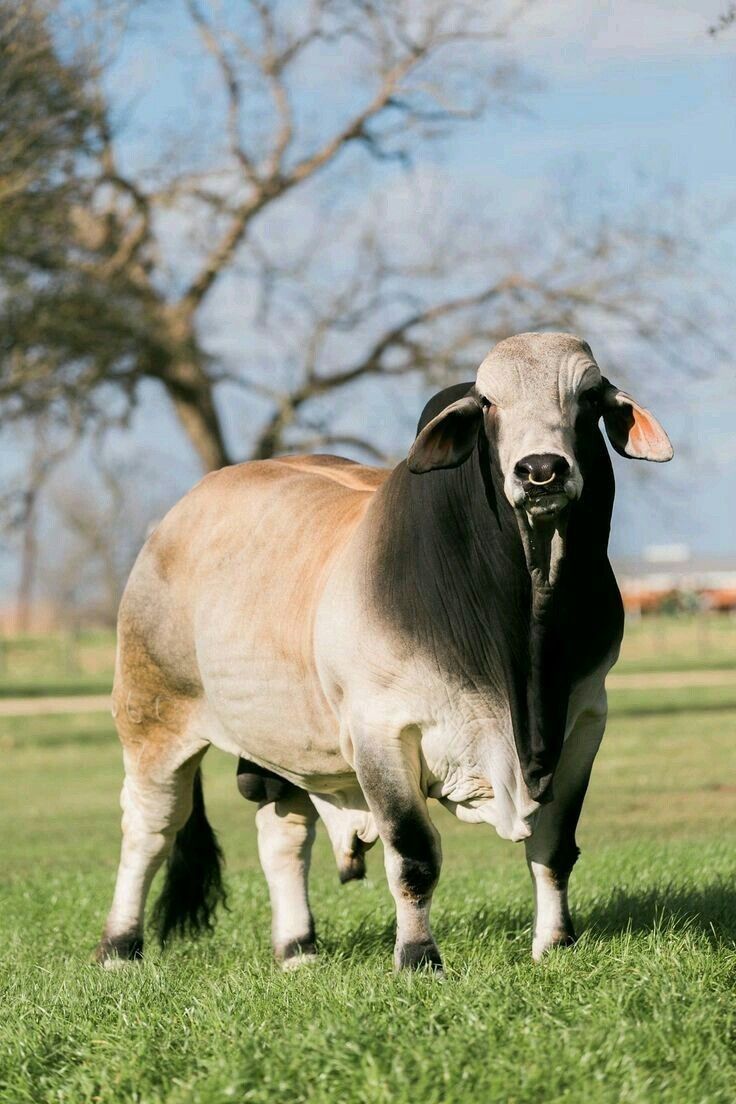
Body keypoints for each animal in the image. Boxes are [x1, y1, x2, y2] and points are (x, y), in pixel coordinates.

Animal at [96, 332, 672, 972]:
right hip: (153, 716)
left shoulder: (584, 722)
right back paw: (119, 946)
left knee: (283, 834)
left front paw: (555, 945)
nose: (541, 471)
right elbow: (415, 857)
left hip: (281, 747)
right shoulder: (382, 734)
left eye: (588, 397)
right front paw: (419, 958)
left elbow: (553, 847)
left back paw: (297, 949)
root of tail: (178, 516)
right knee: (149, 830)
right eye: (488, 402)